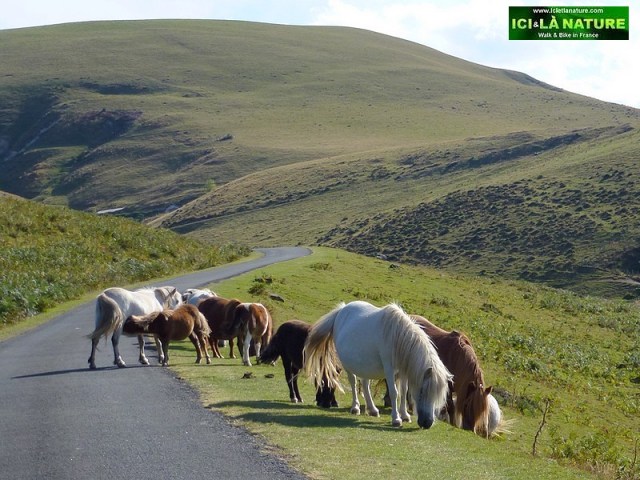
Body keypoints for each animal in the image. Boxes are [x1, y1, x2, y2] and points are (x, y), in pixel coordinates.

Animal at [304, 301, 452, 428]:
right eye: (422, 391)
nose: (427, 423)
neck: (397, 337)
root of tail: (342, 310)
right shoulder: (389, 370)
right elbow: (394, 392)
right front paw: (396, 419)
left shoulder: (403, 370)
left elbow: (404, 391)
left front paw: (405, 415)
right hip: (348, 366)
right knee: (353, 382)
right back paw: (355, 407)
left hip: (364, 365)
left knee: (365, 384)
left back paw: (372, 409)